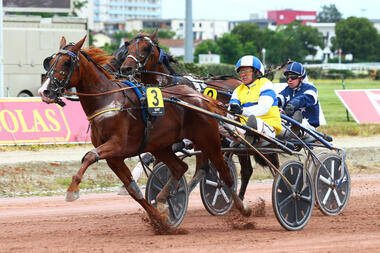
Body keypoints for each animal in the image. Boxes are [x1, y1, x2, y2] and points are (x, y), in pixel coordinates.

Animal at [39, 36, 252, 233]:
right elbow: (134, 191)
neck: (108, 100)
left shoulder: (117, 145)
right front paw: (161, 219)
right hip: (161, 146)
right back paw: (164, 198)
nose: (44, 91)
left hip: (208, 140)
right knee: (180, 168)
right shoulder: (114, 157)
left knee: (224, 173)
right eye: (50, 61)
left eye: (67, 62)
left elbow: (89, 156)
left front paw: (72, 190)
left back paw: (242, 208)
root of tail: (202, 98)